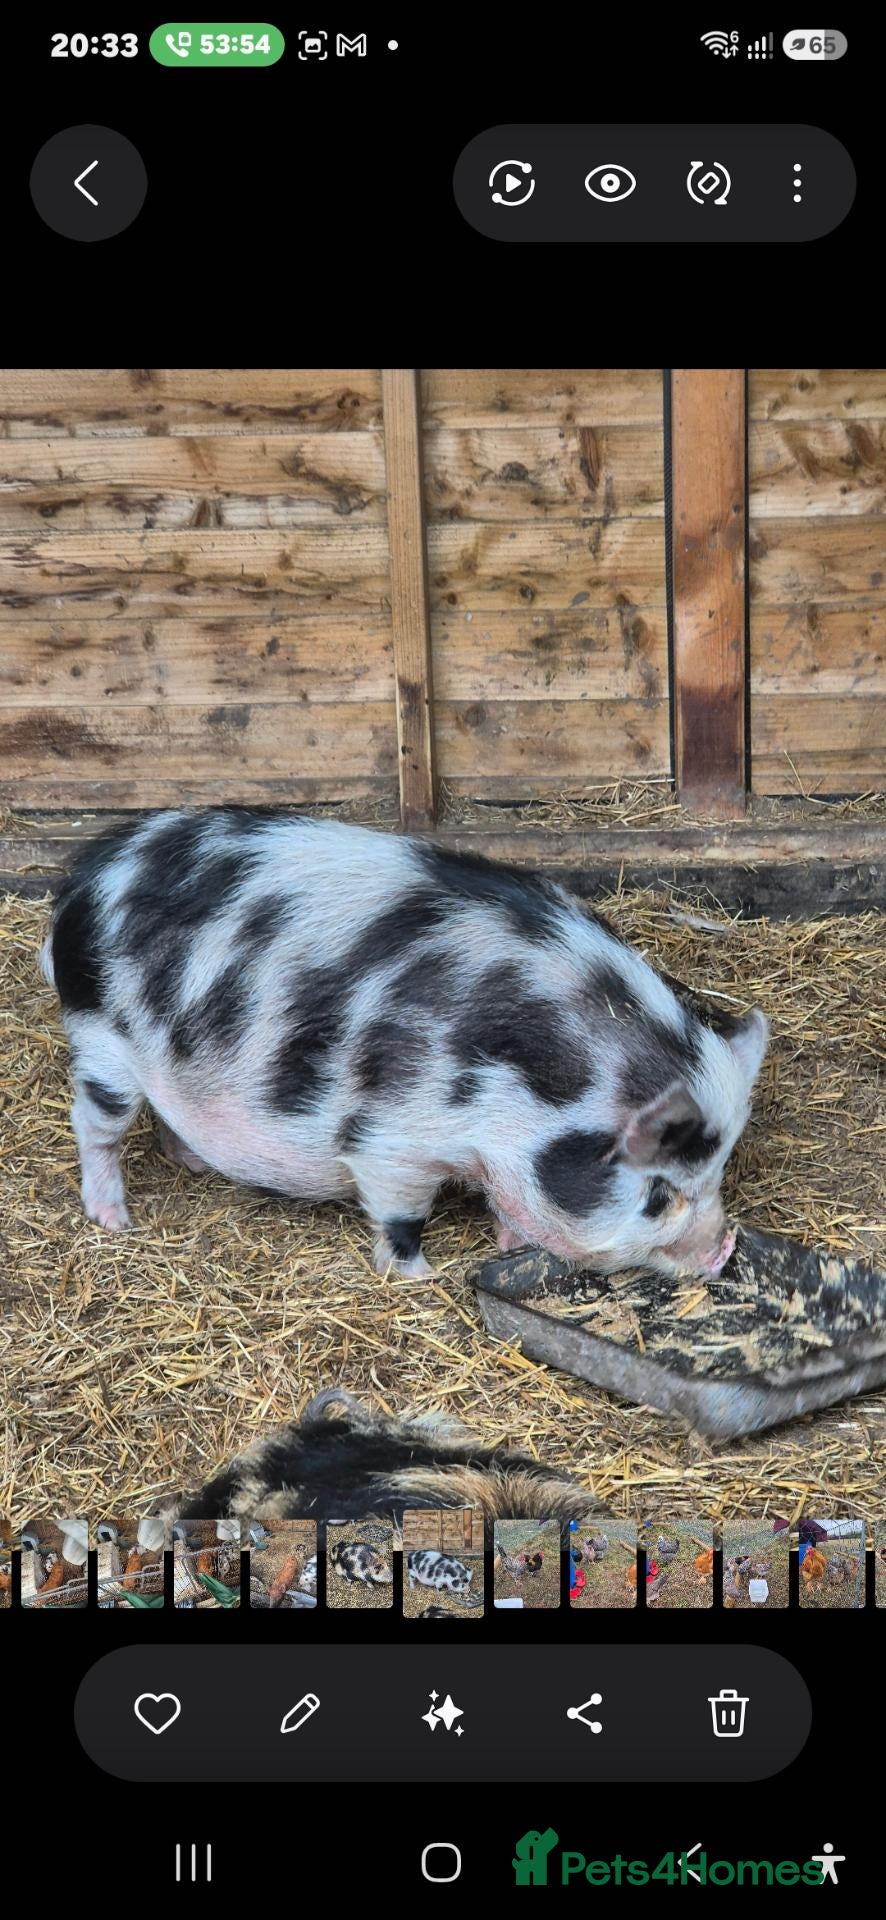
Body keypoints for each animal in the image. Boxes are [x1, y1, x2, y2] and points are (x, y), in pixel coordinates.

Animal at [41, 808, 768, 1280]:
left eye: (716, 1173)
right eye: (658, 1195)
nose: (724, 1249)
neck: (522, 1085)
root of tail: (85, 880)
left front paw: (507, 1243)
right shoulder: (392, 1138)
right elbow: (401, 1214)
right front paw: (421, 1276)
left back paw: (190, 1163)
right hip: (102, 1039)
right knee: (94, 1124)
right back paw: (113, 1220)